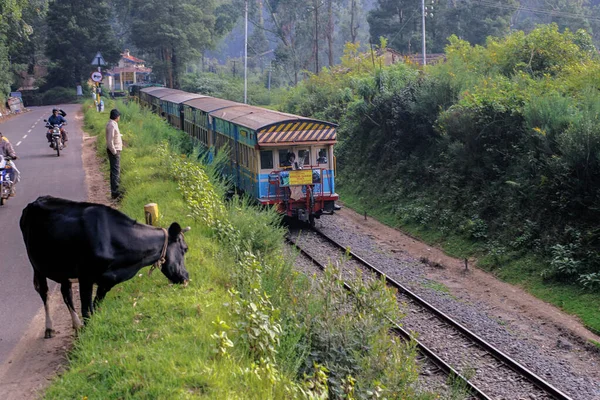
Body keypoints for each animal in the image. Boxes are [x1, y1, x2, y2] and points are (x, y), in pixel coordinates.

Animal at [20, 196, 190, 338]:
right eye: (185, 249)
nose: (186, 277)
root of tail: (35, 201)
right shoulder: (86, 277)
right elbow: (86, 309)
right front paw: (87, 336)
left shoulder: (106, 281)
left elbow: (95, 307)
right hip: (36, 265)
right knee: (44, 292)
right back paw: (49, 328)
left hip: (62, 269)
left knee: (66, 292)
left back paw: (76, 325)